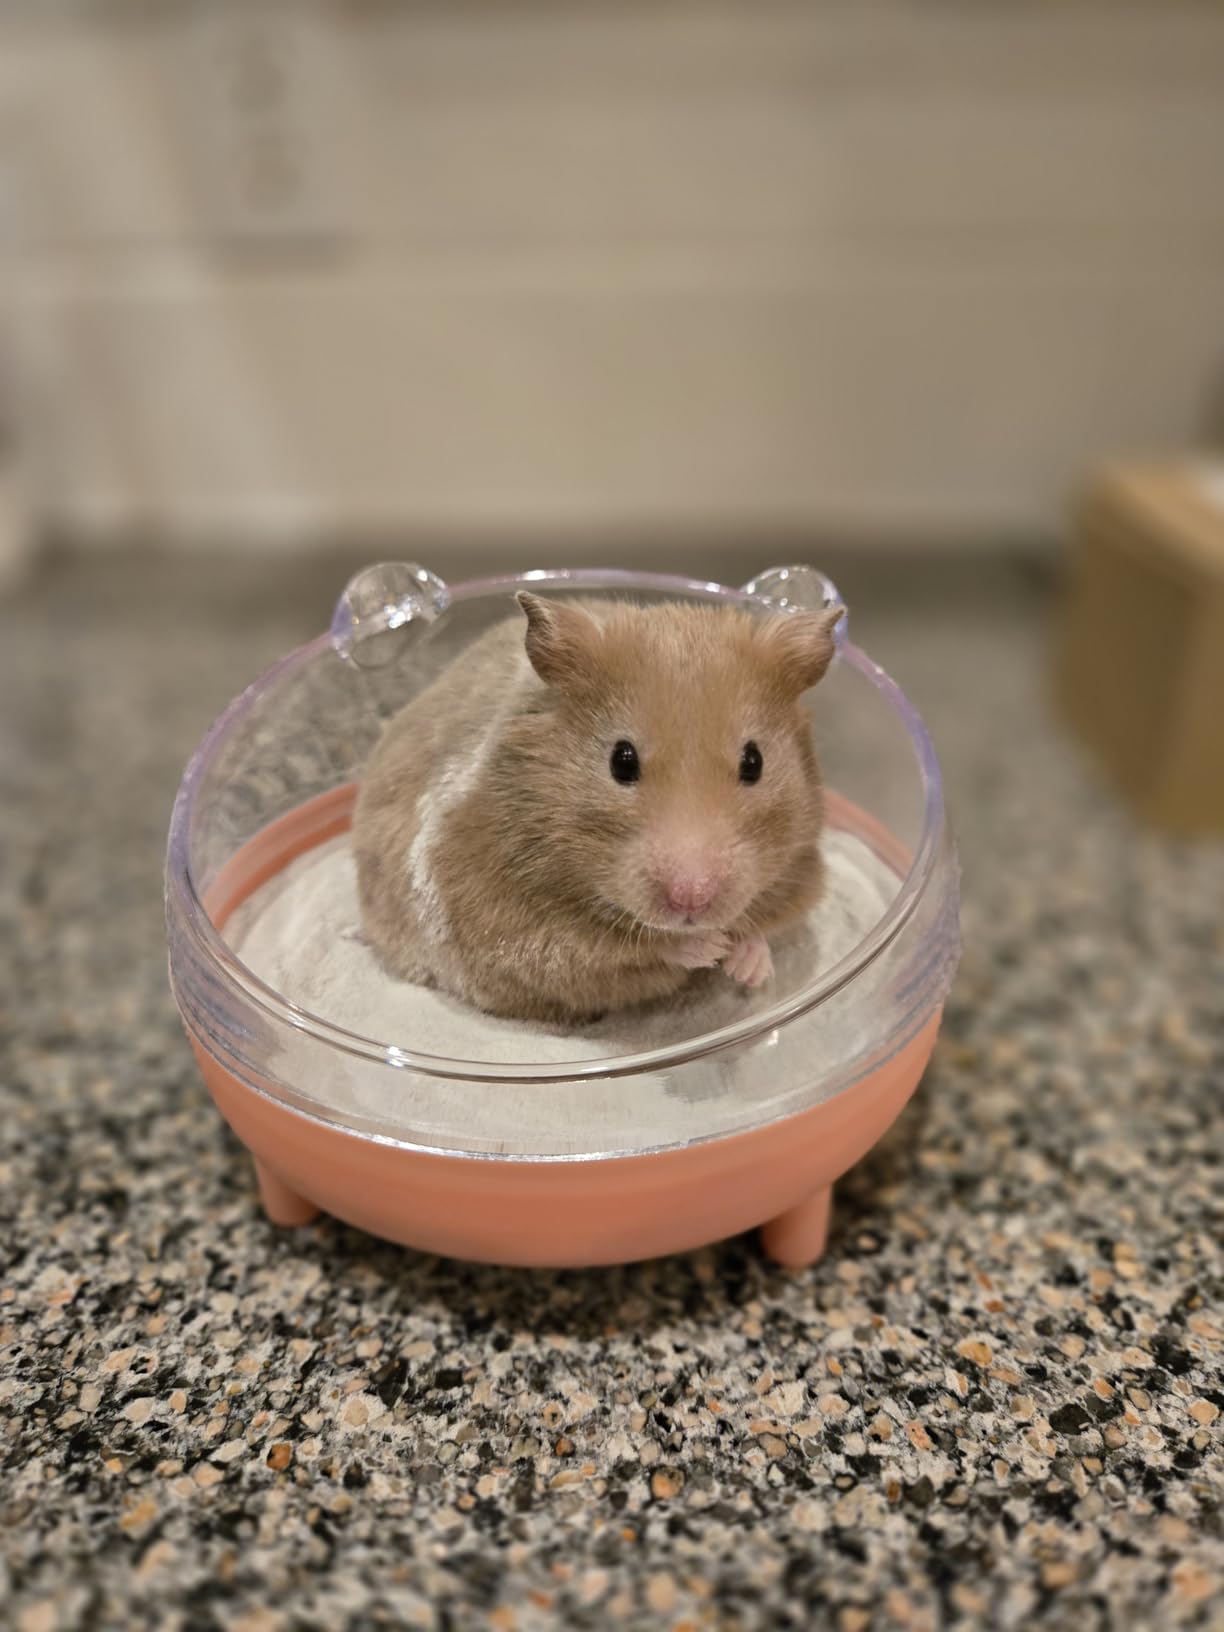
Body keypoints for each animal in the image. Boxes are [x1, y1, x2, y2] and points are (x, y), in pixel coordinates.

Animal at [351, 593, 841, 1025]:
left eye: (754, 761)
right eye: (621, 761)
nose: (692, 901)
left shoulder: (801, 866)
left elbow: (767, 924)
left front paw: (746, 965)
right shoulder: (503, 912)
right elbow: (609, 947)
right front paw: (706, 949)